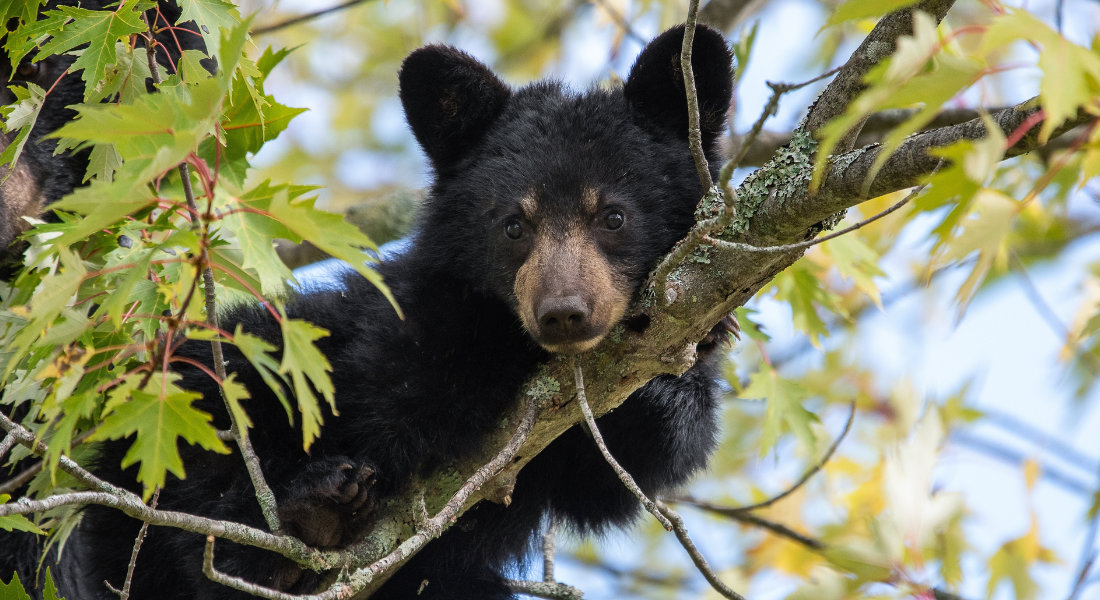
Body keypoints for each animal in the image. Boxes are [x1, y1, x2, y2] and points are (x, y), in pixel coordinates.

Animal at [0, 23, 734, 600]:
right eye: (512, 224)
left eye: (612, 216)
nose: (564, 314)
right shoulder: (393, 328)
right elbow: (409, 394)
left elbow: (622, 472)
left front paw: (681, 368)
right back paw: (303, 517)